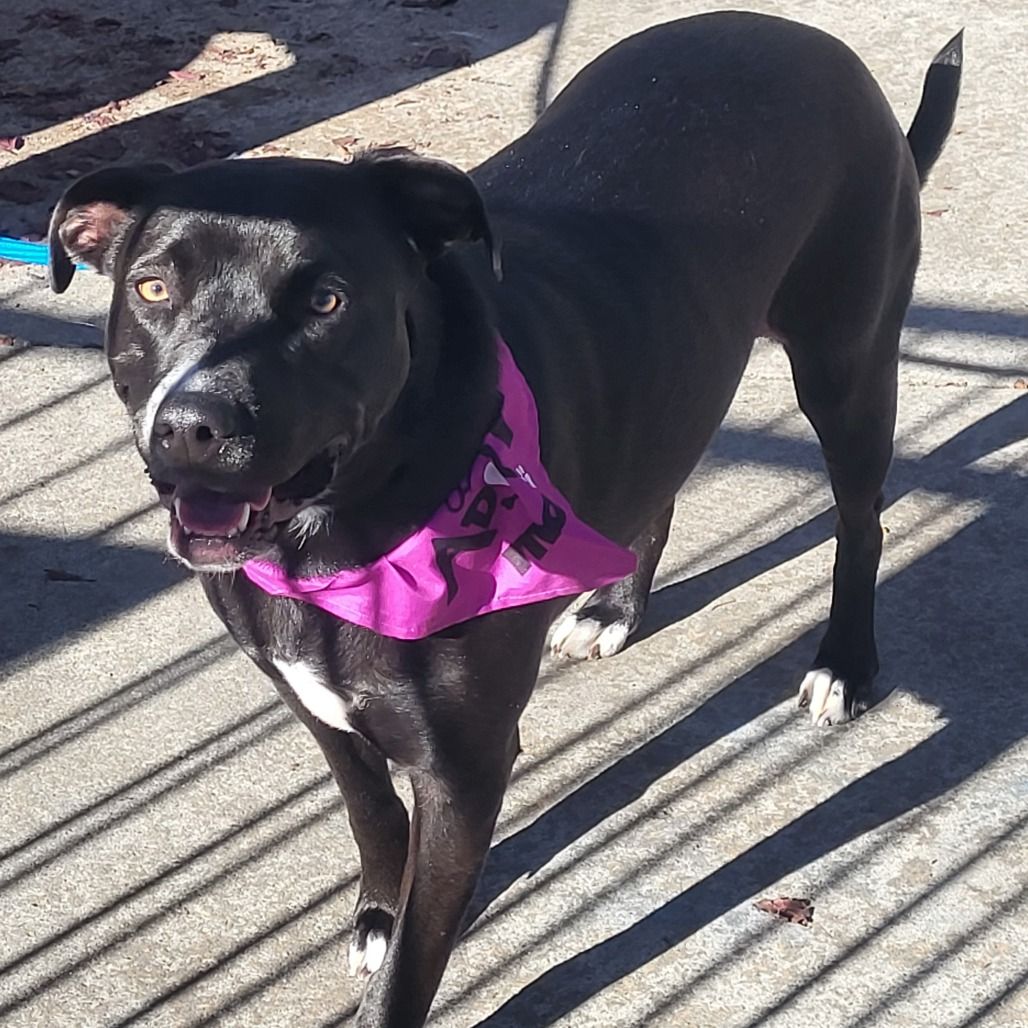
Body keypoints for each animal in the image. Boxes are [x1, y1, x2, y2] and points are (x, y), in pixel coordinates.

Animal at [47, 12, 961, 1026]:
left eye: (327, 300)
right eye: (152, 289)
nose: (194, 426)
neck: (342, 540)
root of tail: (801, 34)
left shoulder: (465, 766)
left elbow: (418, 957)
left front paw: (401, 953)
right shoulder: (312, 700)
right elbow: (371, 811)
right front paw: (377, 913)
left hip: (847, 365)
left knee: (861, 522)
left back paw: (844, 663)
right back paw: (612, 608)